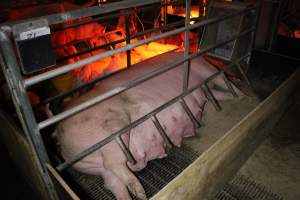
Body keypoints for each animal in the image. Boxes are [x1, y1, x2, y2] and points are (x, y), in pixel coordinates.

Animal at [55, 54, 244, 200]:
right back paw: (140, 191)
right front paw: (243, 95)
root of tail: (61, 138)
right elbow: (225, 81)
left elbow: (222, 94)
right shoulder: (207, 70)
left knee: (113, 182)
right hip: (111, 128)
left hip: (97, 166)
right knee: (114, 163)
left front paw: (238, 96)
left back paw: (136, 195)